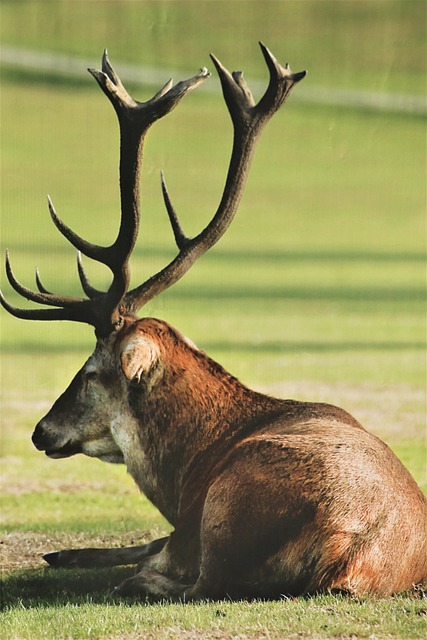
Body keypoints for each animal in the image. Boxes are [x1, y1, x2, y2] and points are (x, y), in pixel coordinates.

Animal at [1, 43, 426, 600]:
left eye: (91, 371)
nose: (40, 431)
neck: (188, 468)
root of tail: (350, 557)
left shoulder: (188, 523)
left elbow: (154, 549)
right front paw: (62, 553)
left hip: (227, 510)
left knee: (196, 582)